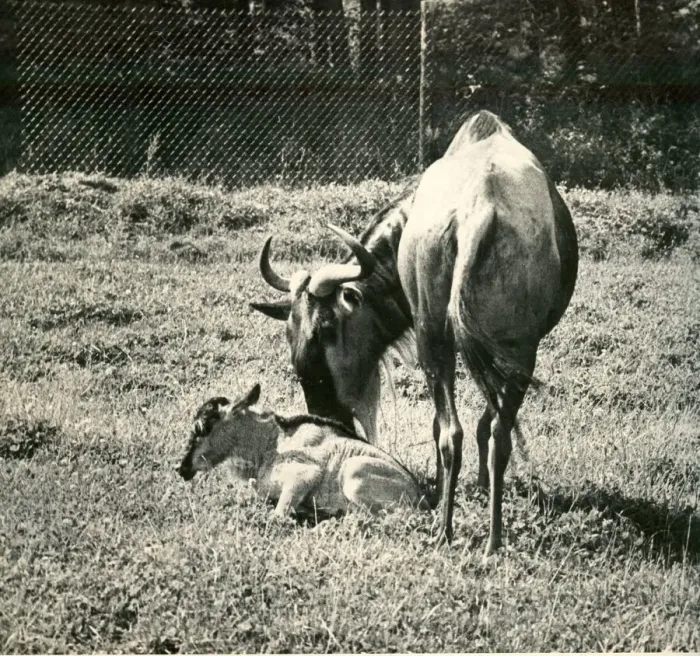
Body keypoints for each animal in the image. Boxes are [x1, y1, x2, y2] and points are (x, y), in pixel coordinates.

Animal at [177, 384, 430, 518]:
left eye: (202, 427)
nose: (181, 468)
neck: (270, 443)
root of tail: (420, 497)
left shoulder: (303, 477)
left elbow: (279, 515)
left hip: (353, 474)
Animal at [252, 111, 578, 554]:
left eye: (326, 328)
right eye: (291, 333)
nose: (322, 415)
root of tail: (479, 213)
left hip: (471, 346)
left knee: (470, 432)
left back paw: (460, 529)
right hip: (494, 348)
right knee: (479, 432)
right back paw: (469, 530)